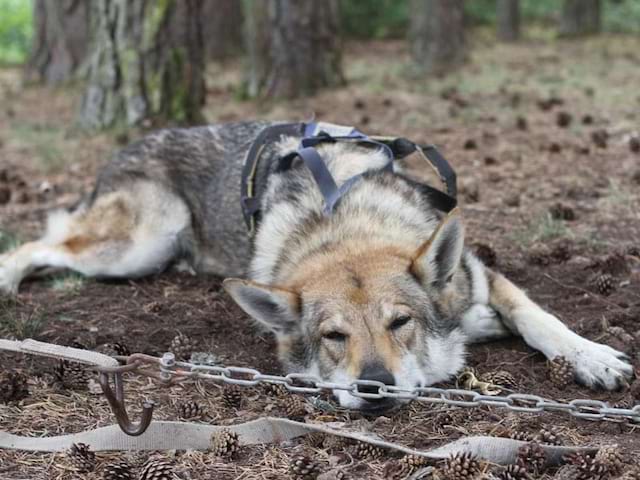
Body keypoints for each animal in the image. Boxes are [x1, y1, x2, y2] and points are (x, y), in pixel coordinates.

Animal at [0, 122, 632, 410]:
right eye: (333, 336)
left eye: (400, 323)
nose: (373, 386)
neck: (346, 221)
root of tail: (123, 149)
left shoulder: (483, 275)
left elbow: (540, 318)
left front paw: (593, 358)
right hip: (143, 242)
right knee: (38, 243)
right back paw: (7, 279)